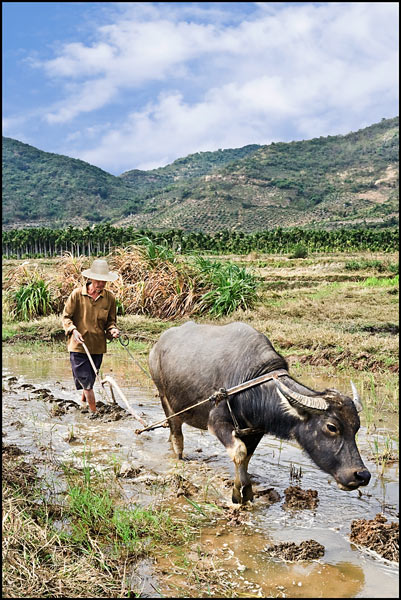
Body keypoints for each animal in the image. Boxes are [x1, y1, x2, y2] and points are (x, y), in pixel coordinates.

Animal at [148, 322, 370, 504]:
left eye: (356, 427)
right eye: (332, 427)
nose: (362, 476)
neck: (253, 386)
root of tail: (158, 345)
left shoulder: (255, 430)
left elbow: (247, 456)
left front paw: (247, 492)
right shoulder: (217, 423)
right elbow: (239, 452)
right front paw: (239, 493)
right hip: (165, 399)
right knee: (177, 434)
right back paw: (179, 457)